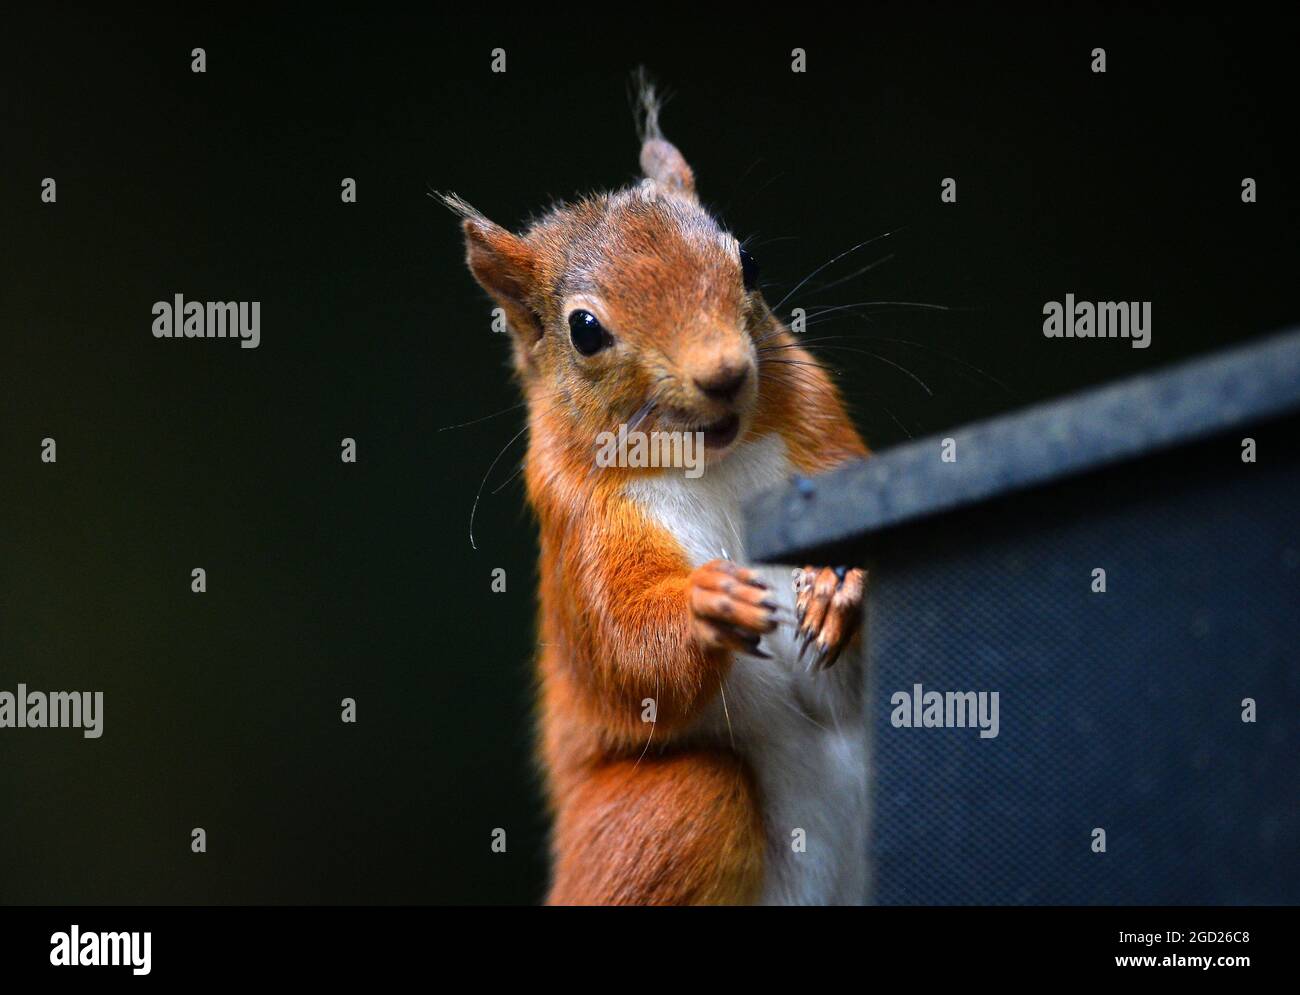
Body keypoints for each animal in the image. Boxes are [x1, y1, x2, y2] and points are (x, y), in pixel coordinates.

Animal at [447, 81, 873, 900]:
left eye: (749, 261)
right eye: (585, 330)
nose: (725, 373)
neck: (713, 464)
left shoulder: (818, 428)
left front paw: (840, 584)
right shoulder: (580, 522)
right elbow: (627, 648)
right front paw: (711, 602)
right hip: (669, 809)